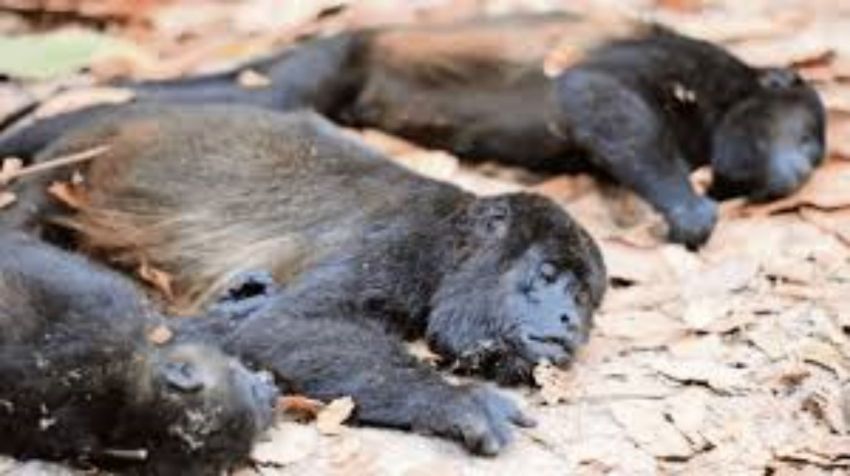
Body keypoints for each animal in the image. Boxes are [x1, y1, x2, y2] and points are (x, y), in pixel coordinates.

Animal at [0, 12, 818, 249]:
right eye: (810, 138)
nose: (804, 171)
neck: (728, 98)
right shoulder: (681, 58)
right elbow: (592, 90)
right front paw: (688, 208)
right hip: (335, 61)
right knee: (279, 97)